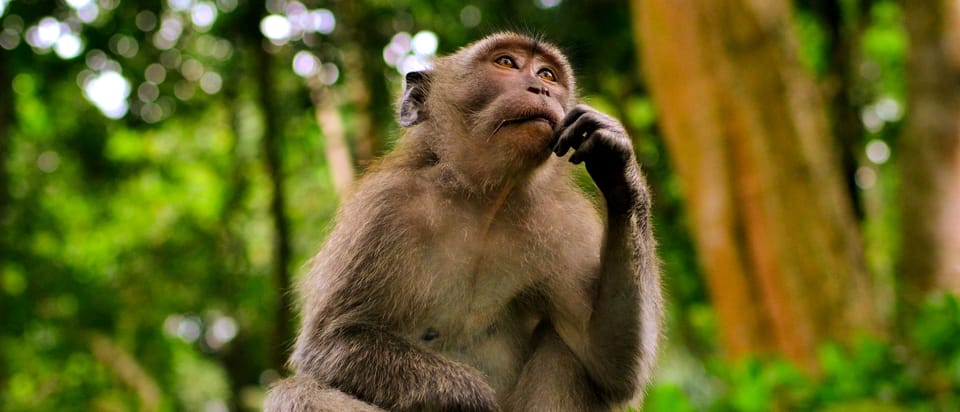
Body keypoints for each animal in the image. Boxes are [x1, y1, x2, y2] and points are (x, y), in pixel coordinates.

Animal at [266, 33, 664, 412]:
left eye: (548, 74)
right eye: (506, 63)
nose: (542, 89)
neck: (483, 201)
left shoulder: (564, 222)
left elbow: (608, 363)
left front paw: (616, 161)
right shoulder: (381, 209)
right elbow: (330, 343)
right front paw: (471, 396)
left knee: (563, 350)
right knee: (296, 393)